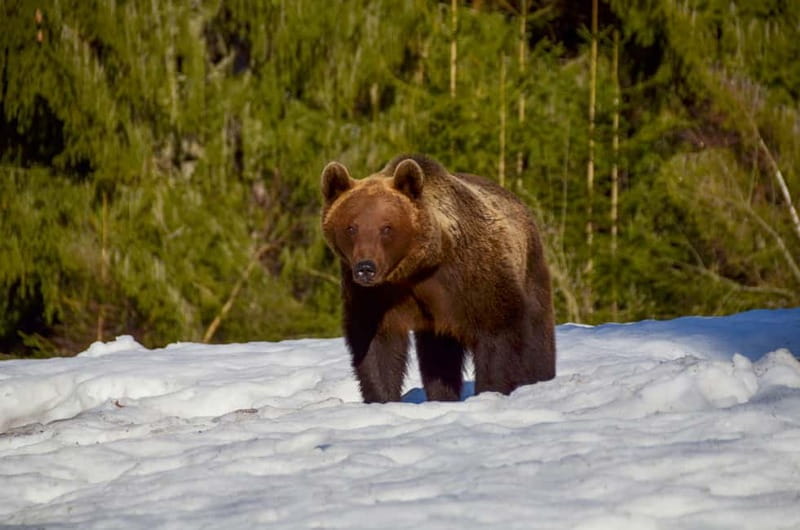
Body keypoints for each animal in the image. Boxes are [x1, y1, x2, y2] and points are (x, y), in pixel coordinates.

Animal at [320, 154, 555, 403]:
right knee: (439, 357)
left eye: (386, 227)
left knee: (537, 335)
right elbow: (376, 343)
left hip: (530, 270)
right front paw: (382, 398)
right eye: (351, 227)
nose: (366, 268)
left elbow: (496, 332)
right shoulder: (375, 295)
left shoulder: (473, 277)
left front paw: (491, 390)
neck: (417, 268)